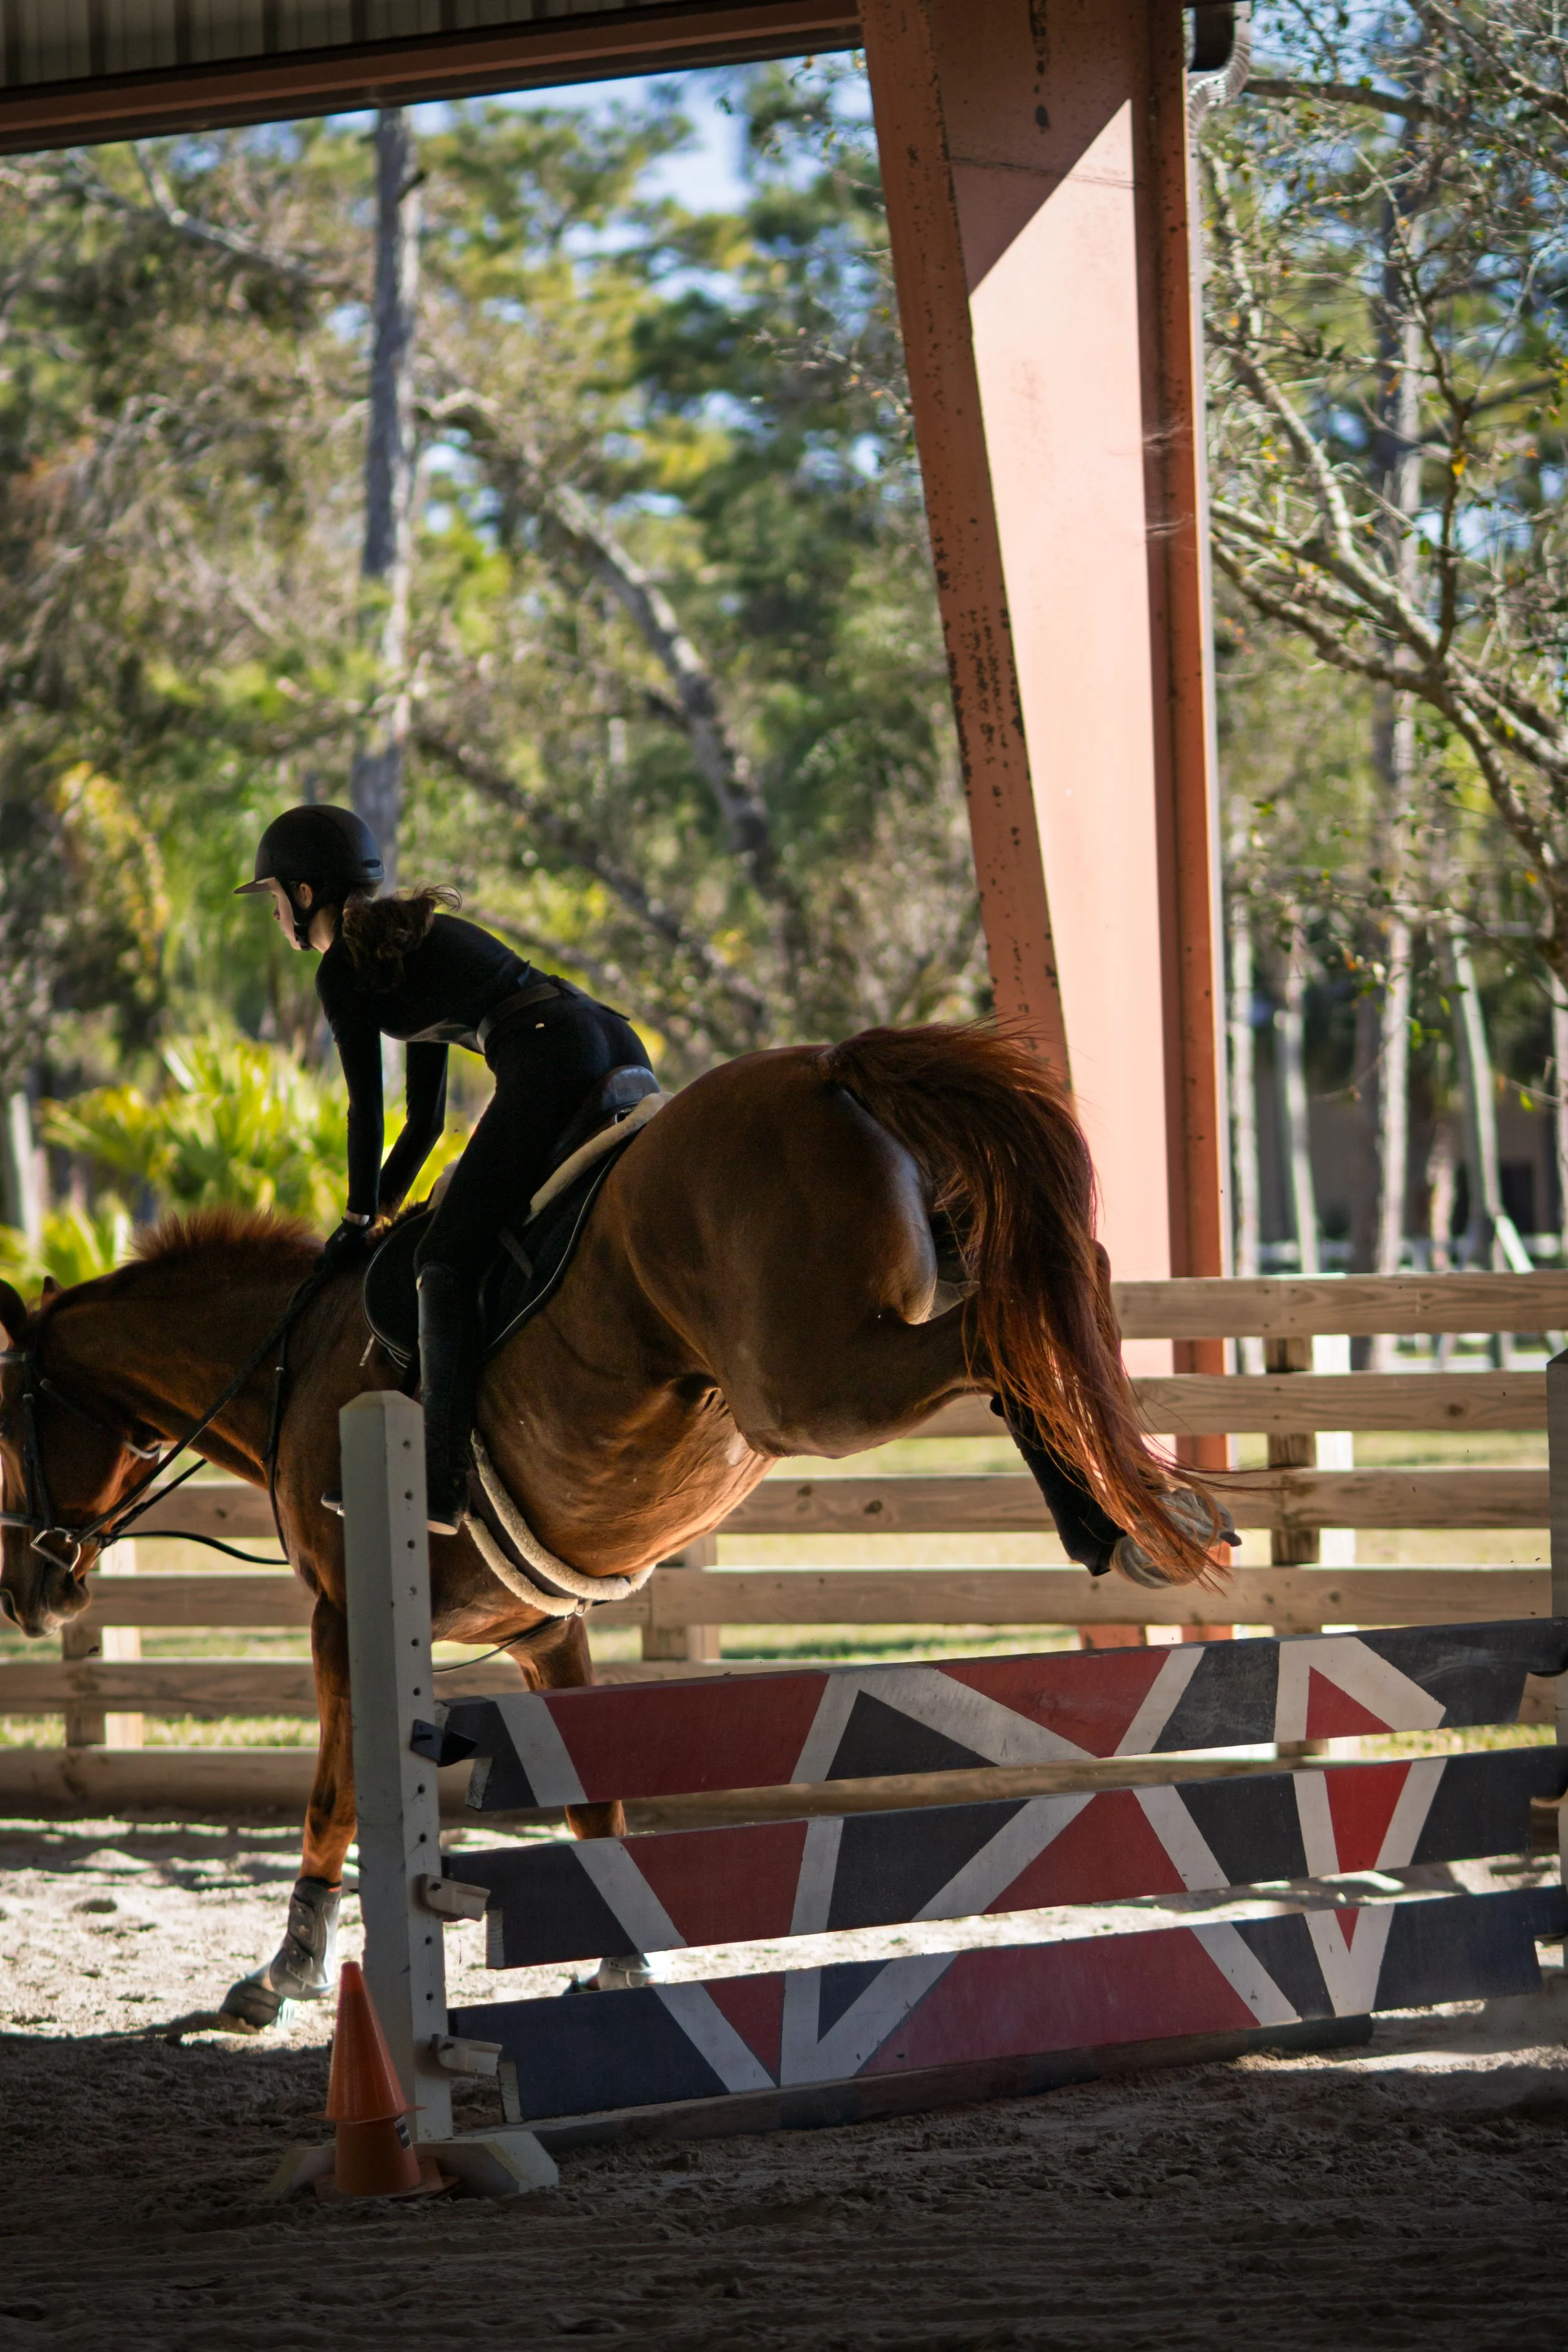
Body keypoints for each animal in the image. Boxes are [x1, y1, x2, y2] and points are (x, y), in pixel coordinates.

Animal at [0, 1024, 1215, 2021]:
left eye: (8, 1428)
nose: (29, 1592)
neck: (290, 1364)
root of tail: (829, 1066)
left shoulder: (341, 1616)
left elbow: (334, 1796)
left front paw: (284, 1973)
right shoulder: (545, 1632)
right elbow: (594, 1806)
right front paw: (629, 1957)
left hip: (809, 1388)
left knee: (1000, 1336)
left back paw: (1132, 1516)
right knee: (1050, 1295)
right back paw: (1130, 1522)